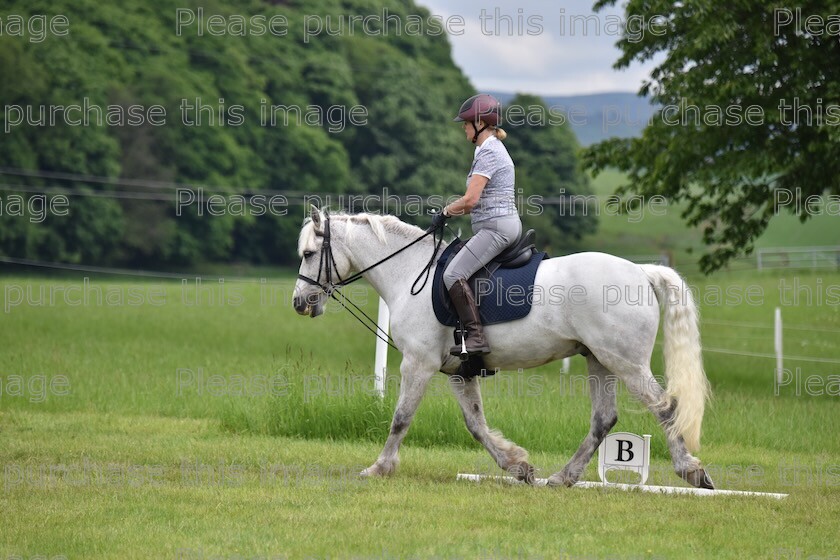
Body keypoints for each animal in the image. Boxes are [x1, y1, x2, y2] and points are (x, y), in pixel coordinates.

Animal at [292, 208, 712, 488]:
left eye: (308, 254)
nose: (299, 303)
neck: (409, 272)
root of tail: (641, 271)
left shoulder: (417, 364)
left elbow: (401, 417)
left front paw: (379, 467)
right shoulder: (459, 372)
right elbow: (476, 424)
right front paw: (518, 467)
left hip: (626, 362)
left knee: (665, 408)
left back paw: (692, 471)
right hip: (600, 360)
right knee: (604, 419)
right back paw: (562, 477)